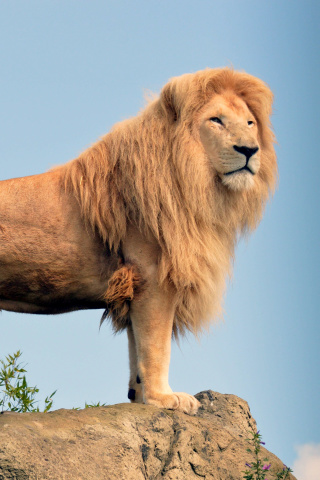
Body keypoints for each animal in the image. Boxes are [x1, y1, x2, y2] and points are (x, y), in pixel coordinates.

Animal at [0, 67, 276, 412]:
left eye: (250, 123)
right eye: (216, 120)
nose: (249, 150)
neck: (196, 185)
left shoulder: (135, 288)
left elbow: (137, 349)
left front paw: (141, 396)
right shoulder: (153, 279)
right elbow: (156, 346)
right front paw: (166, 398)